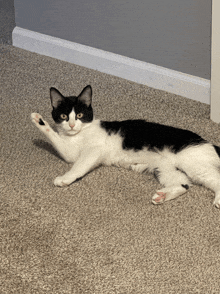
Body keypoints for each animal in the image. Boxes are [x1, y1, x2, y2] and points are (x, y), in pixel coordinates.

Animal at [31, 84, 220, 208]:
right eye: (63, 116)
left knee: (215, 178)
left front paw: (65, 178)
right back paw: (163, 195)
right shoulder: (70, 151)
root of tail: (209, 143)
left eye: (79, 115)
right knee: (183, 184)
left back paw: (218, 200)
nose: (71, 125)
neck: (79, 133)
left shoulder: (93, 150)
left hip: (194, 164)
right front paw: (38, 120)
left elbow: (78, 166)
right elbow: (59, 142)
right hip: (165, 168)